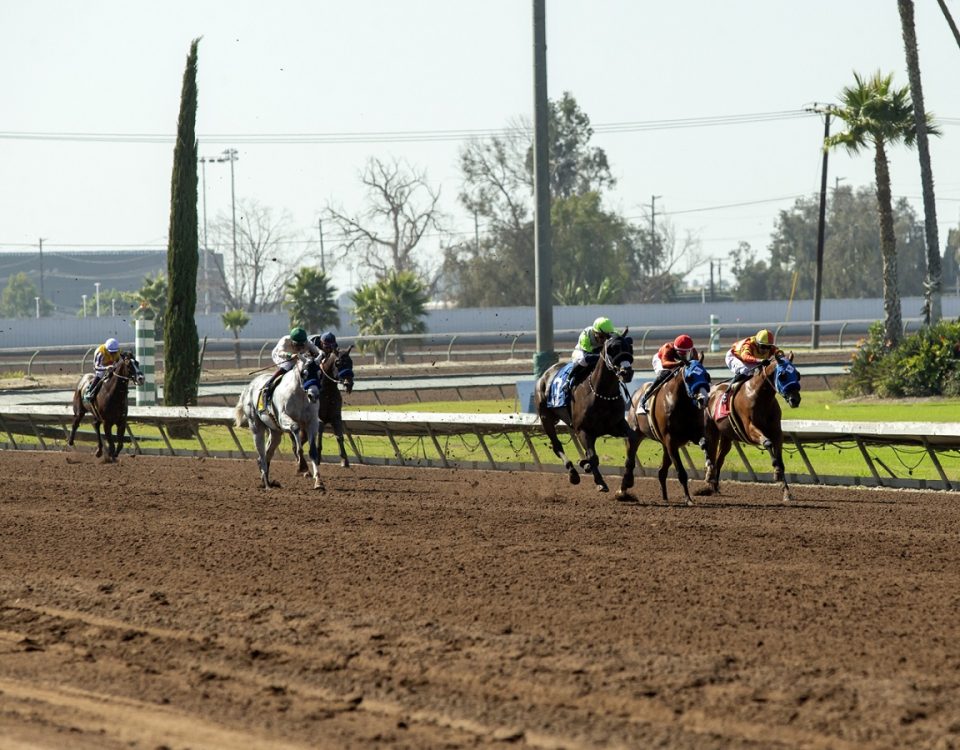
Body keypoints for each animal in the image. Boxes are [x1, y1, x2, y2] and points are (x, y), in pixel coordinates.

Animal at [235, 356, 322, 490]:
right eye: (304, 374)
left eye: (319, 374)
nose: (314, 395)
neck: (300, 396)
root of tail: (248, 387)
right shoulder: (282, 418)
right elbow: (295, 428)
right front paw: (302, 464)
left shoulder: (312, 422)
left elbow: (313, 451)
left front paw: (318, 481)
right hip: (256, 427)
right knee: (262, 455)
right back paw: (267, 484)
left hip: (275, 433)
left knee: (267, 454)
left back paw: (267, 481)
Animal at [536, 332, 632, 496]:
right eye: (611, 349)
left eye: (629, 347)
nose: (626, 372)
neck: (602, 394)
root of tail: (545, 374)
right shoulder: (583, 430)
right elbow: (593, 456)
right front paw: (600, 483)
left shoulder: (616, 426)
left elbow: (631, 440)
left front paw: (628, 480)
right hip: (546, 418)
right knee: (557, 446)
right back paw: (573, 473)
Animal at [624, 356, 712, 508]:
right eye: (689, 377)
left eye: (707, 375)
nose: (703, 399)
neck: (682, 404)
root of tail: (635, 393)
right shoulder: (671, 440)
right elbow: (681, 472)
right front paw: (688, 499)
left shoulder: (694, 434)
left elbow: (705, 443)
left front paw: (709, 472)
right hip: (635, 435)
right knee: (629, 461)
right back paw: (623, 489)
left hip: (665, 445)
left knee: (661, 471)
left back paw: (665, 497)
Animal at [696, 354, 804, 506]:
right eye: (782, 375)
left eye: (798, 374)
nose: (795, 399)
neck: (760, 397)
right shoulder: (749, 429)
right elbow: (767, 443)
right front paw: (776, 472)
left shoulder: (777, 432)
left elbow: (779, 458)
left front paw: (786, 492)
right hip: (711, 430)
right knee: (710, 453)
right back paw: (709, 478)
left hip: (727, 436)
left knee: (719, 459)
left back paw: (715, 487)